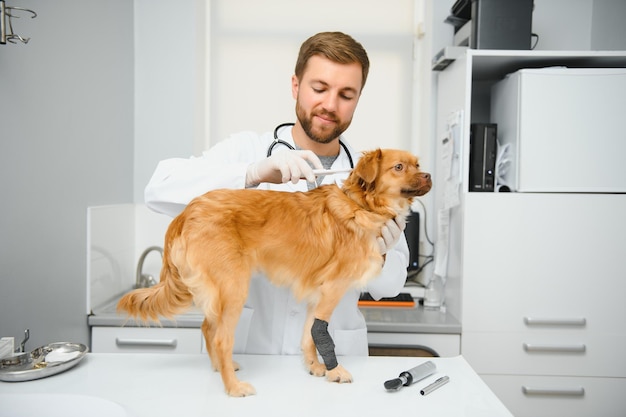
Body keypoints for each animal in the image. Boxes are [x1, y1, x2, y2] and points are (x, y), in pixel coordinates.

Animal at [117, 148, 428, 394]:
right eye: (399, 167)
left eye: (418, 164)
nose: (428, 176)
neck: (361, 204)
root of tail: (186, 212)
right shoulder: (333, 288)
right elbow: (320, 332)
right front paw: (333, 370)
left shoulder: (316, 294)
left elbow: (308, 334)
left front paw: (314, 366)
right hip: (234, 287)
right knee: (220, 338)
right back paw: (233, 388)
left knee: (207, 327)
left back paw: (221, 368)